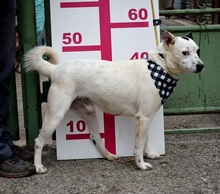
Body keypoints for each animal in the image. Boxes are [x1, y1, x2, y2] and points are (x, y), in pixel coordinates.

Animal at [23, 31, 204, 174]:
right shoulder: (143, 118)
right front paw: (141, 165)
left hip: (89, 111)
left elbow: (145, 141)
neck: (160, 67)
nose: (201, 66)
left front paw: (149, 154)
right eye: (185, 52)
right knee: (38, 141)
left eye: (198, 51)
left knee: (95, 136)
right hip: (55, 114)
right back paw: (38, 167)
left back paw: (108, 155)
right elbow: (138, 146)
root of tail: (55, 69)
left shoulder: (146, 119)